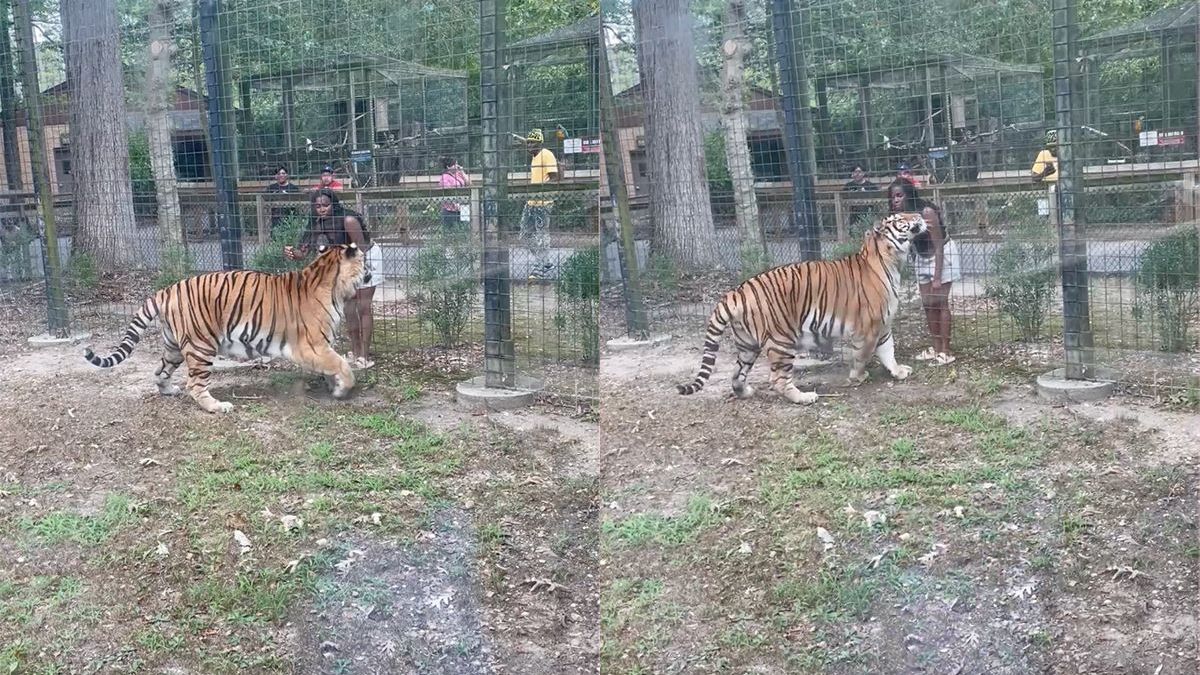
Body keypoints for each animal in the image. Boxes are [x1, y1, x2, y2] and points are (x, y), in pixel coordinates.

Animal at [84, 241, 369, 410]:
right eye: (365, 261)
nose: (370, 272)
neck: (332, 283)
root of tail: (167, 290)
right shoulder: (311, 346)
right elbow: (341, 364)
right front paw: (344, 389)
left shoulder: (320, 346)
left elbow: (332, 366)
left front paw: (334, 387)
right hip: (201, 345)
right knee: (195, 384)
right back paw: (217, 407)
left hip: (174, 346)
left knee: (160, 371)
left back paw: (169, 390)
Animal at [676, 210, 926, 401]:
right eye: (900, 218)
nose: (919, 214)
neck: (890, 261)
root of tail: (735, 292)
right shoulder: (868, 327)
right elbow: (863, 356)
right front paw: (857, 377)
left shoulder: (883, 324)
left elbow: (888, 350)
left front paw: (898, 372)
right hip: (781, 340)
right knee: (777, 379)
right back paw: (804, 397)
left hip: (747, 345)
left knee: (737, 373)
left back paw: (745, 392)